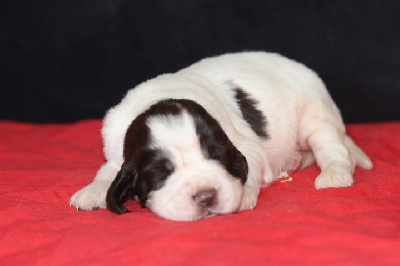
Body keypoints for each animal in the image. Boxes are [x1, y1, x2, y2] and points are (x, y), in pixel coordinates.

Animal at [70, 51, 374, 220]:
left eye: (217, 156)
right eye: (160, 172)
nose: (206, 196)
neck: (162, 97)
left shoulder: (244, 143)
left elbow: (251, 164)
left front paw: (243, 194)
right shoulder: (115, 151)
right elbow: (107, 171)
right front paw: (92, 191)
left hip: (315, 114)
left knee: (333, 148)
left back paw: (335, 175)